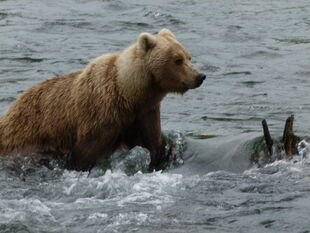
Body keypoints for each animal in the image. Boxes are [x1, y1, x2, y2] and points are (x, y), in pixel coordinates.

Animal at [0, 28, 206, 171]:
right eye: (177, 60)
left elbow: (153, 143)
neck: (129, 93)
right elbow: (85, 153)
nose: (200, 76)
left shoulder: (145, 113)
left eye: (189, 56)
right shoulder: (100, 114)